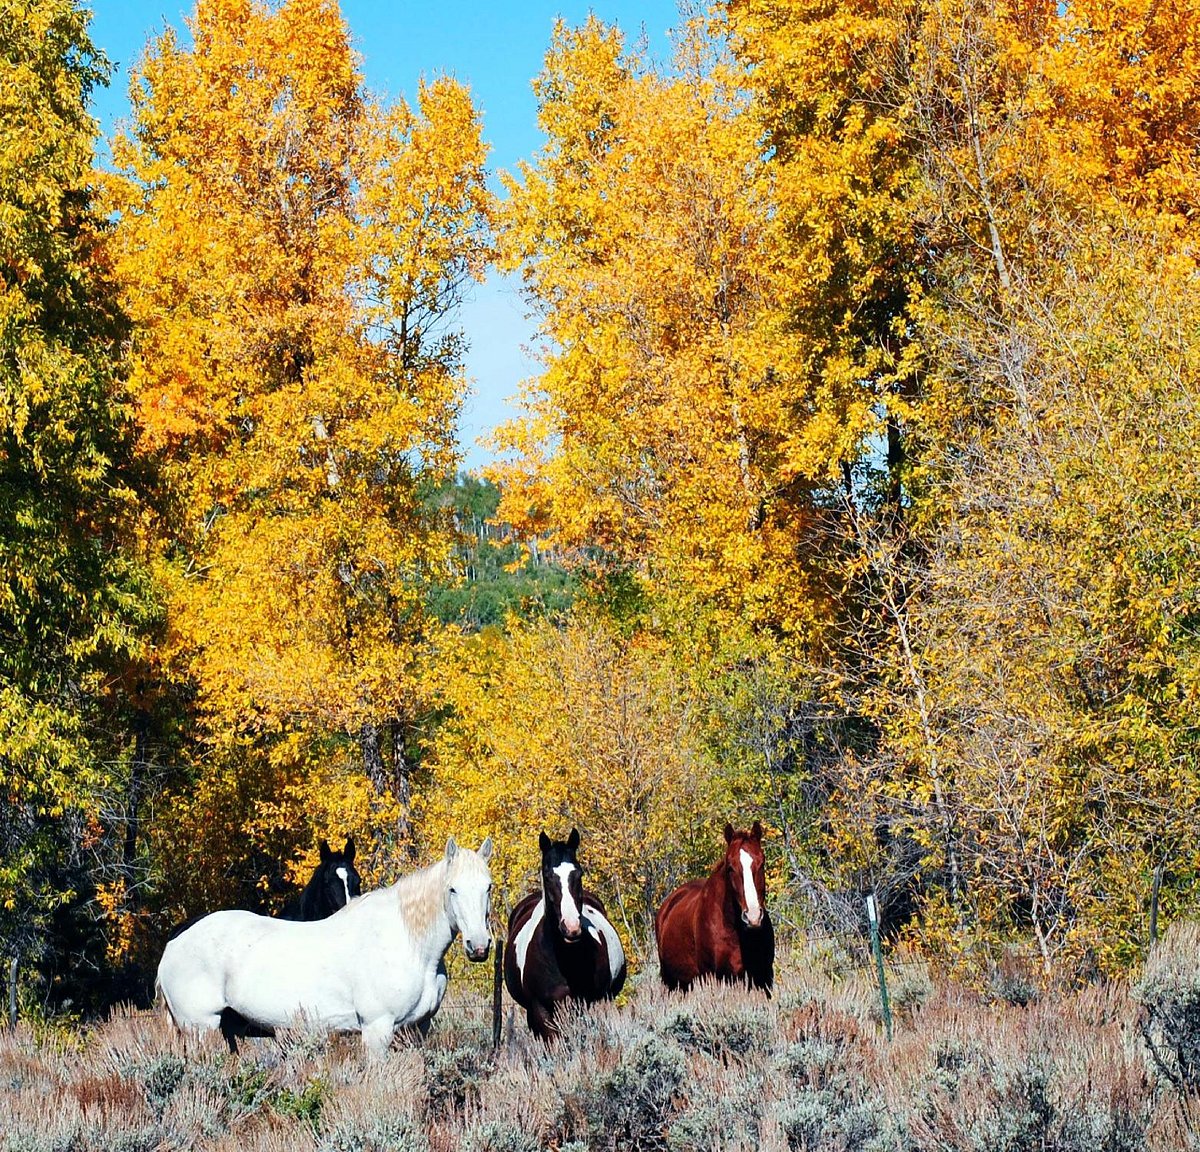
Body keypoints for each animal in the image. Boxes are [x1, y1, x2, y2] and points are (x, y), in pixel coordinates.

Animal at [157, 830, 494, 1056]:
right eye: (452, 889)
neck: (407, 944)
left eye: (488, 887)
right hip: (201, 1028)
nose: (479, 946)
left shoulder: (418, 1028)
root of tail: (174, 943)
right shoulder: (377, 1029)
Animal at [501, 825, 628, 1041]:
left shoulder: (592, 1002)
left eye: (578, 874)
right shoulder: (541, 1010)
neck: (563, 959)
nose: (571, 927)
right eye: (547, 875)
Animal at [652, 820, 772, 988]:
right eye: (730, 867)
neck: (733, 929)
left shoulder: (761, 978)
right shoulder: (713, 977)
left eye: (762, 863)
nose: (753, 916)